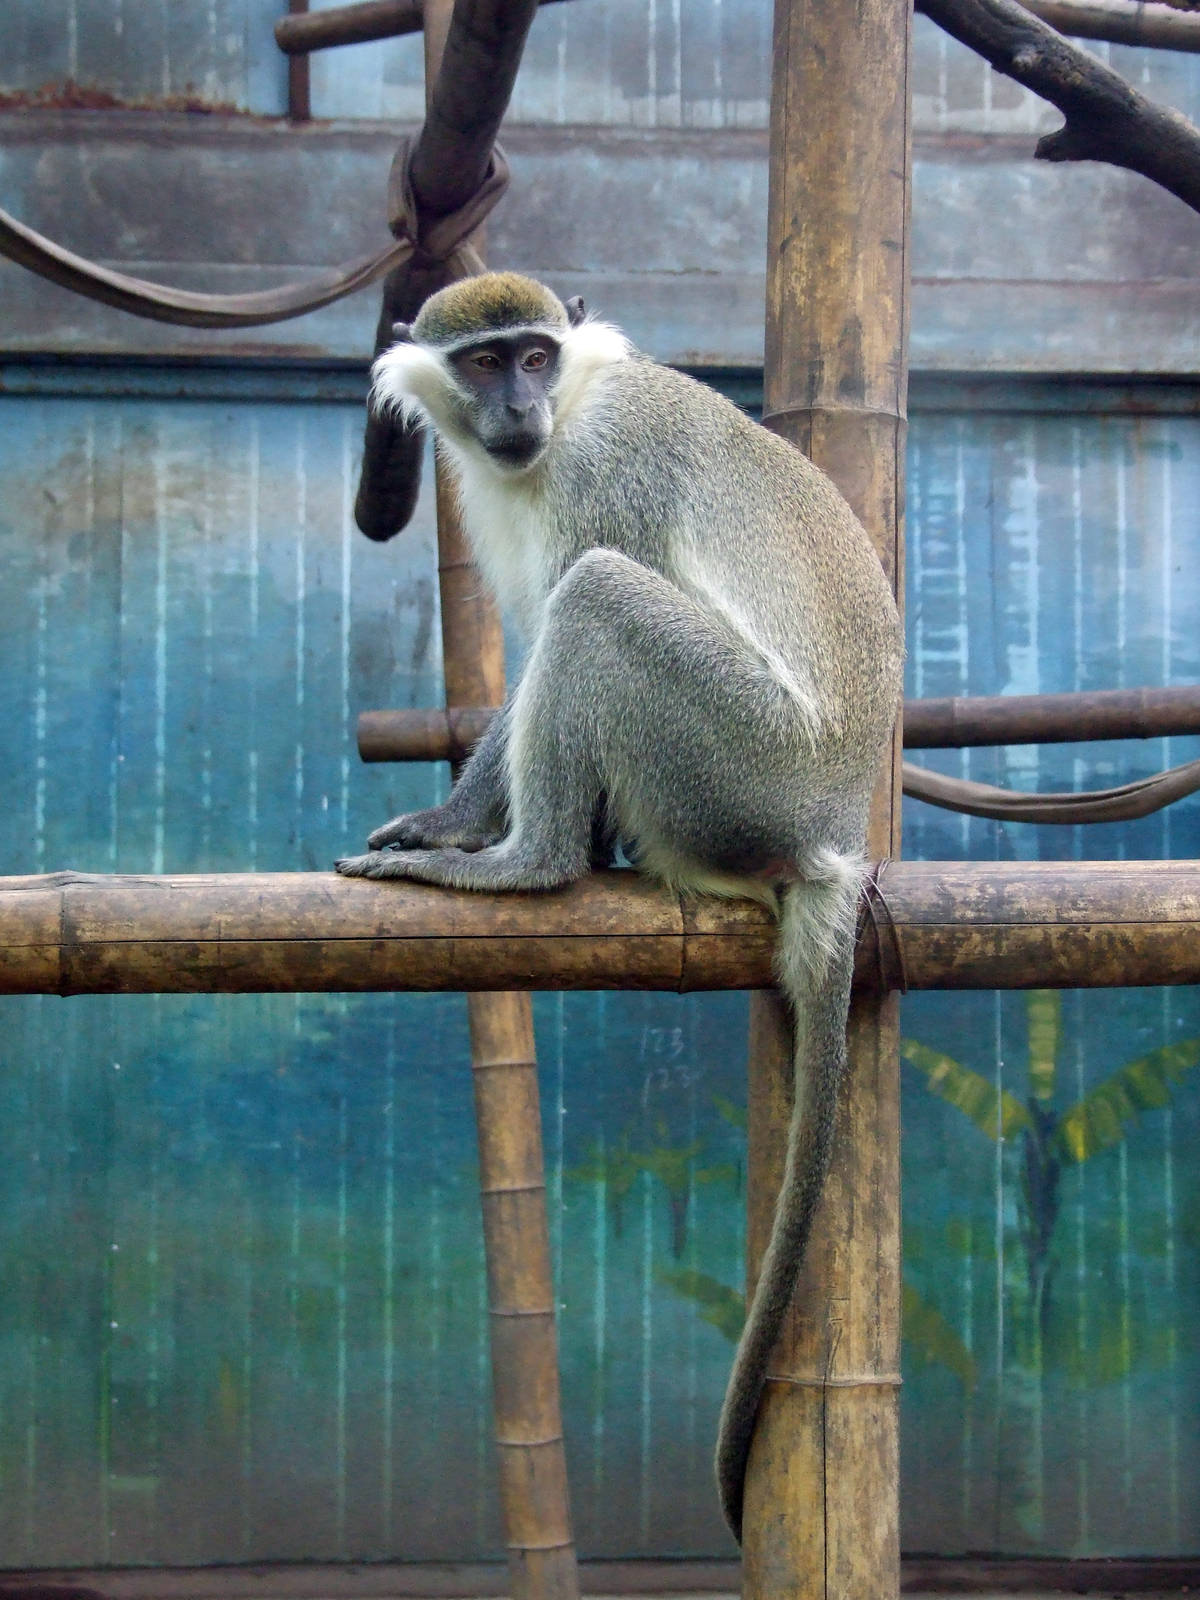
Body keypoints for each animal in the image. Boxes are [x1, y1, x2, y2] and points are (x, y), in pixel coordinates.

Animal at [336, 271, 903, 1542]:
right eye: (486, 361)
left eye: (536, 356)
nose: (519, 408)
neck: (564, 425)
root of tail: (833, 832)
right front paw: (445, 817)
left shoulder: (609, 473)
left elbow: (564, 612)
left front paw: (473, 838)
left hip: (736, 759)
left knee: (595, 598)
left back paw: (535, 862)